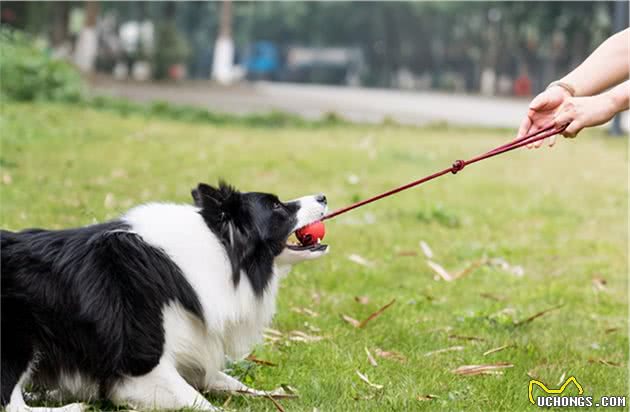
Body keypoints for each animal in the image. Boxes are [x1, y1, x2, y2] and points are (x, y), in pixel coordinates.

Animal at [2, 183, 330, 412]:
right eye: (276, 206)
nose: (323, 197)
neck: (218, 250)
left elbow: (230, 382)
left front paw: (279, 394)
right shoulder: (142, 368)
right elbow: (202, 403)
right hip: (19, 340)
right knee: (13, 405)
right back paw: (72, 405)